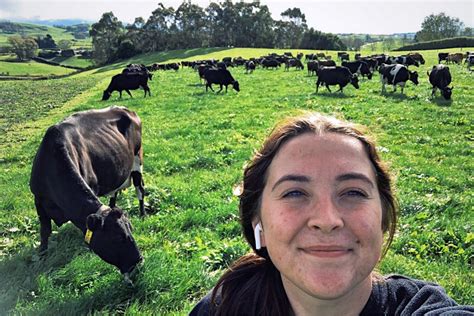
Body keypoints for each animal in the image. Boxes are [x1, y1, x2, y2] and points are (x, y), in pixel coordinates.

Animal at [30, 106, 144, 282]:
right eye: (118, 237)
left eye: (131, 229)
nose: (138, 261)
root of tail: (125, 109)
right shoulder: (39, 199)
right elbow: (44, 231)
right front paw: (42, 255)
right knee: (114, 195)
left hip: (138, 159)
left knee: (140, 191)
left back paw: (143, 214)